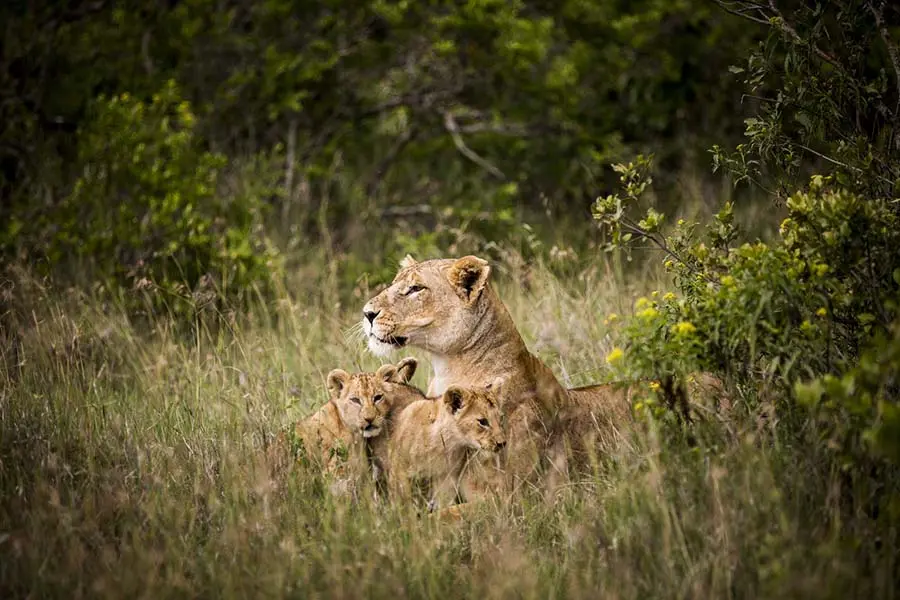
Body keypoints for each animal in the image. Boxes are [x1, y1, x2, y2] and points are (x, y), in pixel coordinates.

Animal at [387, 381, 507, 511]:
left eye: (500, 418)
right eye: (483, 421)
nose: (502, 443)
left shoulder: (446, 479)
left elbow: (442, 505)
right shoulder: (399, 471)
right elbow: (404, 503)